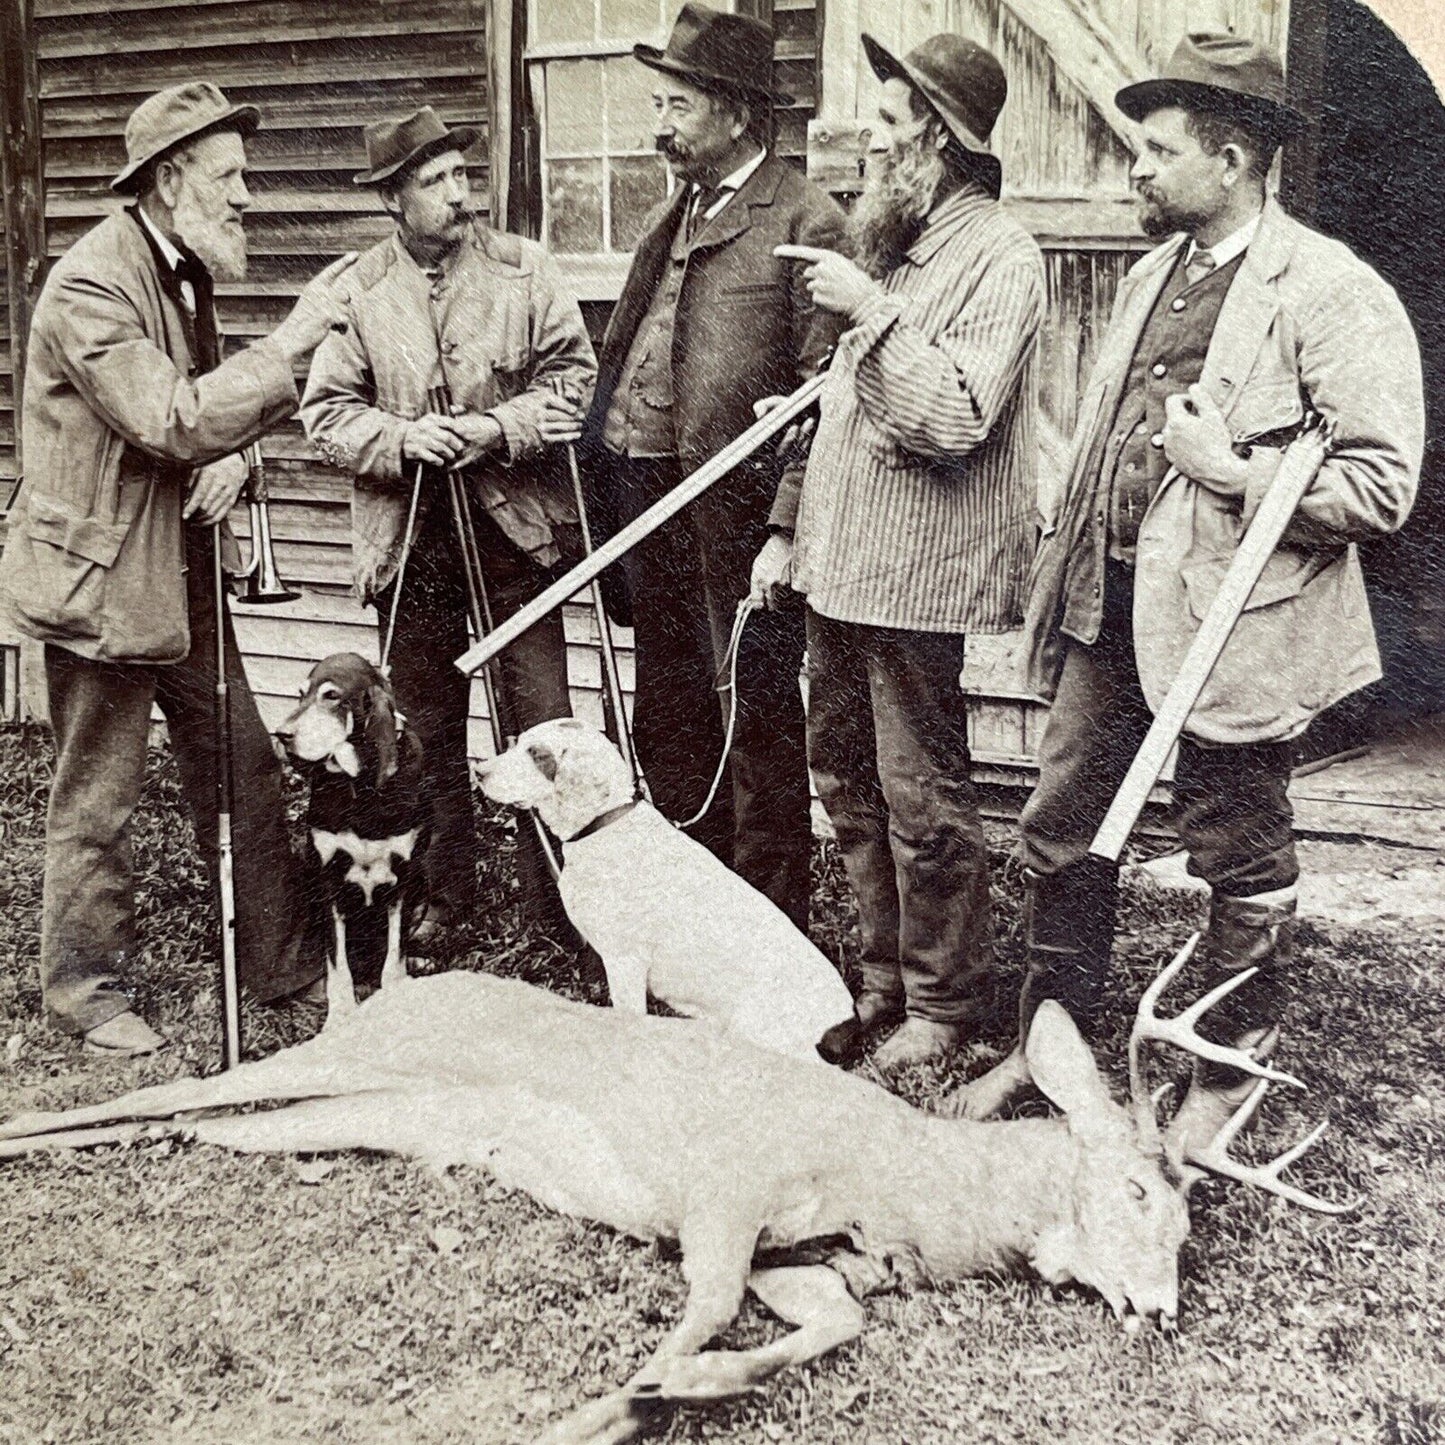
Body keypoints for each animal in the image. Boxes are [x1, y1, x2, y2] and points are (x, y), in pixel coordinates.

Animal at [0, 936, 1346, 1445]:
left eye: (1193, 1222)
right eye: (1136, 1193)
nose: (1161, 1306)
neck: (898, 1182)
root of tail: (396, 986)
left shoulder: (796, 1253)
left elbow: (825, 1325)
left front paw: (681, 1389)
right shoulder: (721, 1187)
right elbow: (695, 1307)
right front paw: (606, 1407)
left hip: (358, 1115)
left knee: (189, 1120)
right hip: (347, 1061)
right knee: (162, 1089)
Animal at [277, 656, 427, 1028]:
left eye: (332, 696)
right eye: (301, 693)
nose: (282, 734)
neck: (359, 787)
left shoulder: (404, 878)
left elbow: (395, 954)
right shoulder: (329, 881)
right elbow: (338, 964)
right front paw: (341, 1015)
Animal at [476, 719, 855, 1063]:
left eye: (538, 754)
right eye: (519, 742)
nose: (479, 771)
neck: (605, 824)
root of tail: (845, 1026)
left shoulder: (625, 959)